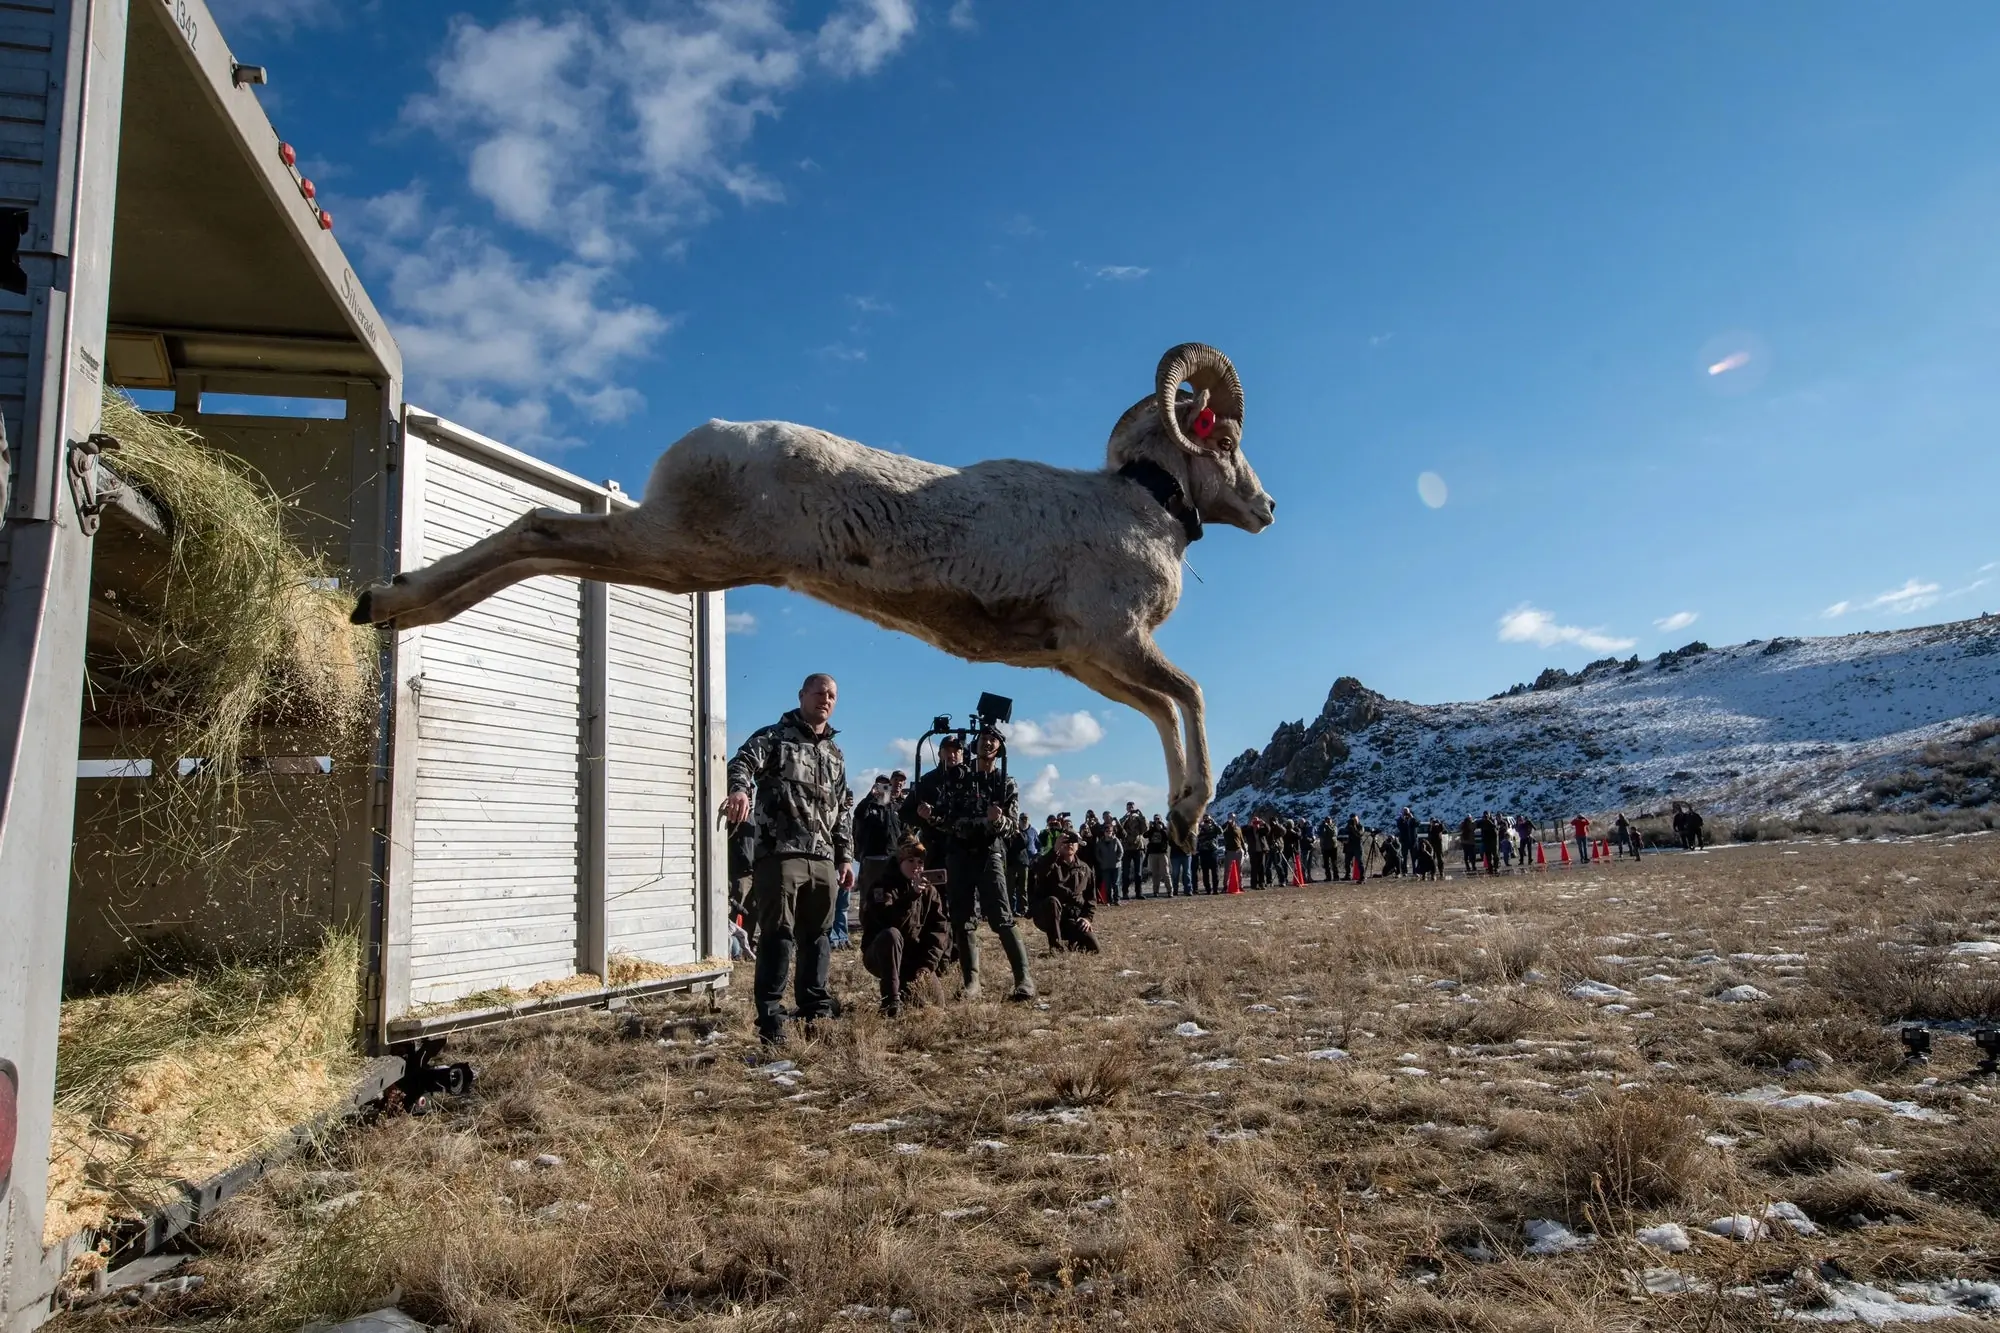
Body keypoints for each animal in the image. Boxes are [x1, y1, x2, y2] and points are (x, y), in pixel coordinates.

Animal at [352, 343, 1274, 847]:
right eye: (1226, 438)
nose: (1267, 508)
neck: (1138, 508)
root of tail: (698, 445)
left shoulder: (1090, 661)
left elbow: (1163, 711)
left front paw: (1183, 818)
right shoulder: (1115, 642)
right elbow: (1192, 696)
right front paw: (1192, 810)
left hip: (675, 557)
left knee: (541, 537)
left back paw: (385, 605)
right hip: (676, 550)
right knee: (540, 526)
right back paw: (390, 604)